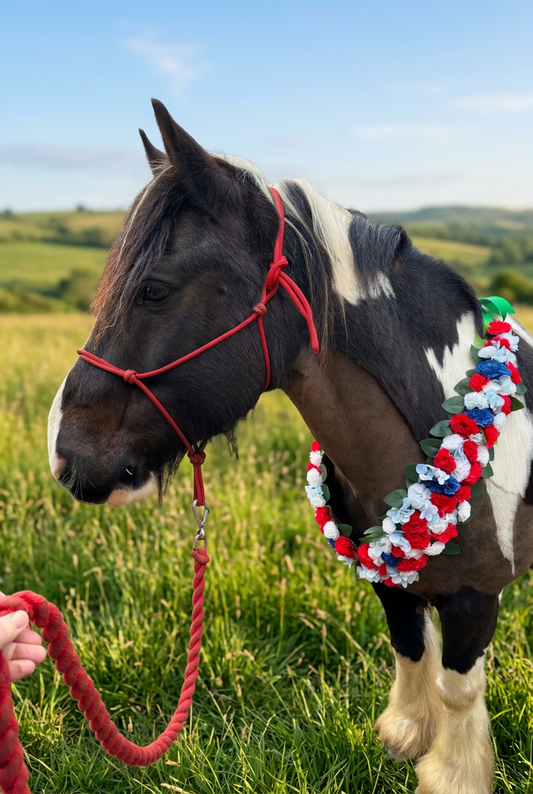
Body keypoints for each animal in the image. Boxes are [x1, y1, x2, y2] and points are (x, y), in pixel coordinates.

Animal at [47, 99, 533, 794]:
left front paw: (452, 770)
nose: (61, 454)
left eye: (155, 290)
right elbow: (410, 646)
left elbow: (458, 688)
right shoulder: (391, 579)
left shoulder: (474, 599)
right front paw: (408, 734)